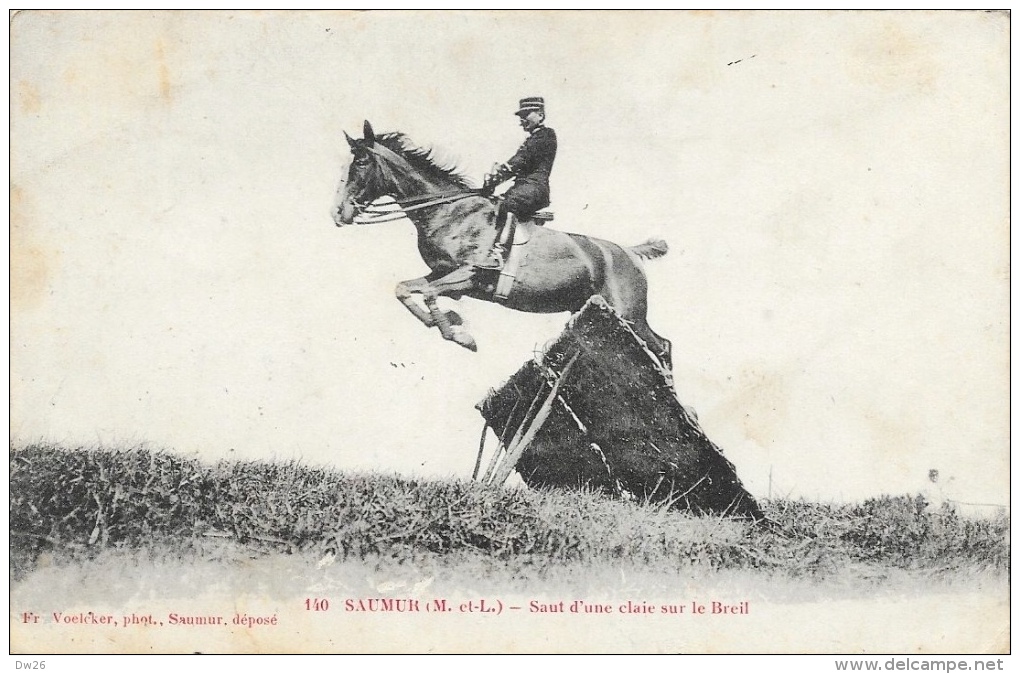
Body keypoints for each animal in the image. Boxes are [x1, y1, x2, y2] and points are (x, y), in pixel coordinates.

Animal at [330, 118, 673, 365]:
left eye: (360, 162)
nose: (338, 213)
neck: (448, 211)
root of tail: (629, 252)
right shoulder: (442, 274)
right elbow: (404, 289)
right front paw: (451, 322)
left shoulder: (468, 275)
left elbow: (428, 294)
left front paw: (461, 334)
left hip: (628, 314)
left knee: (662, 346)